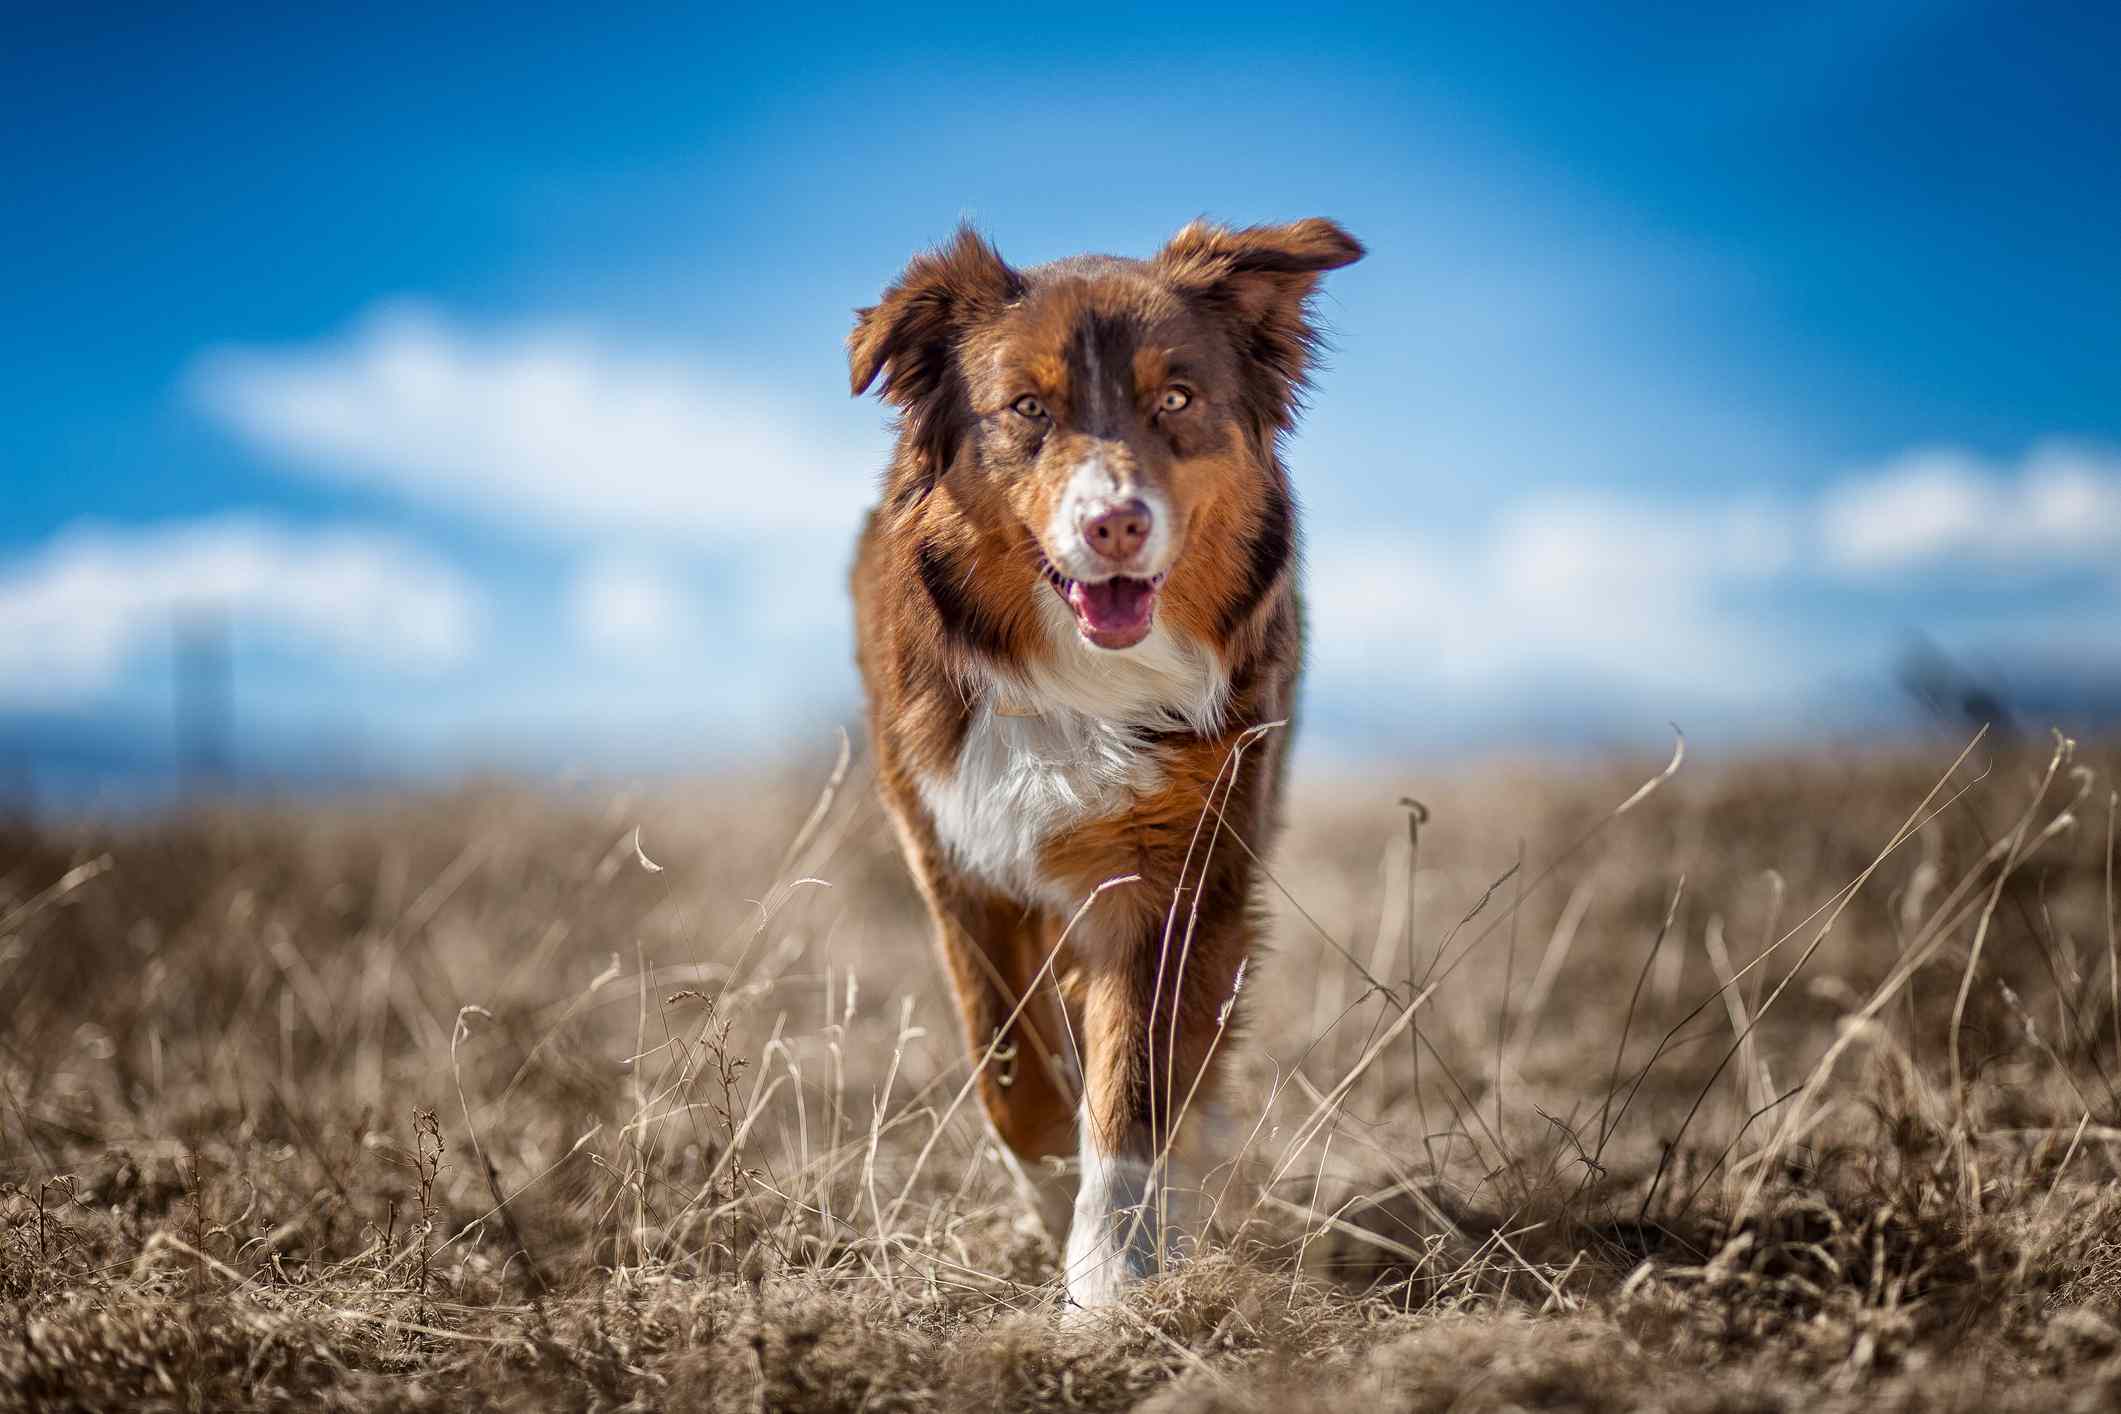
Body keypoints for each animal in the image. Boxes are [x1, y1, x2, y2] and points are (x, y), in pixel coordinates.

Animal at [839, 216, 1357, 1314]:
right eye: (1027, 409)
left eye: (1178, 398)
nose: (1113, 523)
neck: (1077, 678)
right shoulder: (956, 856)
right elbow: (1009, 1071)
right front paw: (1052, 1197)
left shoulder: (1175, 866)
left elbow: (1133, 1090)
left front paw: (1111, 1281)